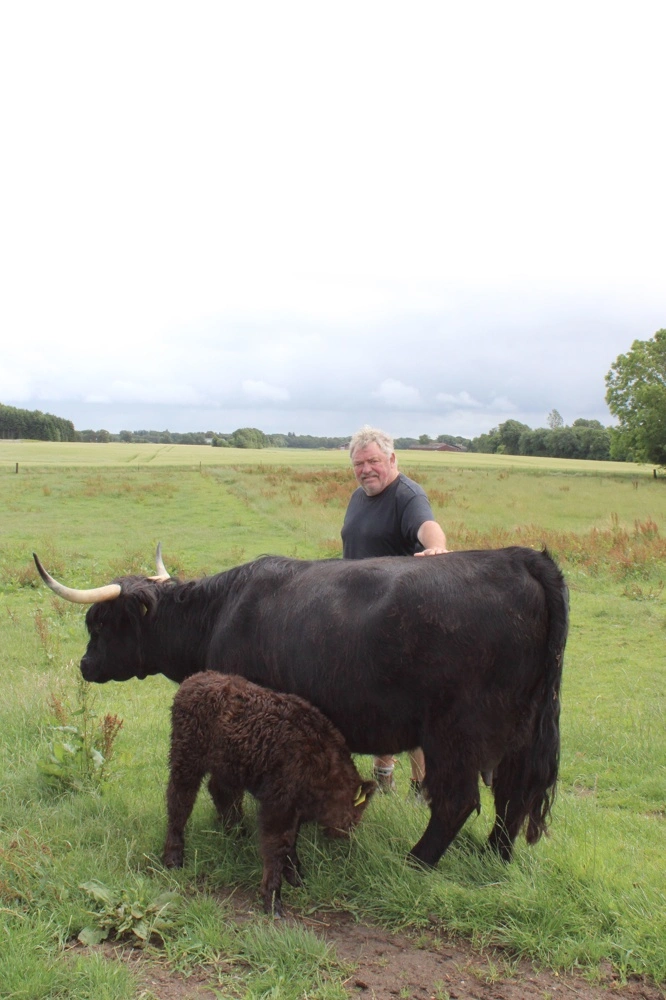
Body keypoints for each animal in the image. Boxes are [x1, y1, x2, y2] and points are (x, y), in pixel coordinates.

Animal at [33, 545, 568, 868]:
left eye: (99, 622)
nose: (84, 664)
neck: (219, 614)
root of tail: (518, 558)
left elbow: (225, 787)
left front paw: (233, 831)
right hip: (518, 734)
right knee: (513, 798)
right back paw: (493, 856)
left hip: (454, 735)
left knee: (459, 801)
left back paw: (416, 860)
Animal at [163, 671, 376, 915]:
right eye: (354, 813)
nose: (346, 833)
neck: (322, 765)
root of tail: (193, 679)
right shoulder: (277, 804)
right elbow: (277, 846)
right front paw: (273, 900)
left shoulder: (293, 808)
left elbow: (291, 842)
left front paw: (297, 878)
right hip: (186, 757)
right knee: (179, 800)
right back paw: (173, 857)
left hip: (227, 766)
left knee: (220, 792)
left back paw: (237, 834)